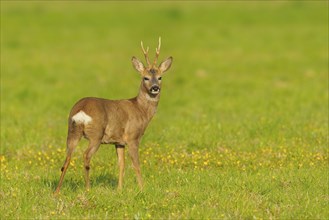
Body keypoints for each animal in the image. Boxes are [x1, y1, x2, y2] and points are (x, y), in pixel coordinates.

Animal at [53, 38, 172, 194]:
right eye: (145, 78)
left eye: (160, 77)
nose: (155, 88)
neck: (140, 110)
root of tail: (81, 110)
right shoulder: (133, 137)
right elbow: (136, 165)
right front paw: (142, 188)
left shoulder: (119, 142)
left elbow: (121, 165)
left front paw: (119, 189)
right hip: (96, 134)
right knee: (86, 156)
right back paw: (88, 189)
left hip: (72, 131)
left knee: (67, 159)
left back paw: (57, 192)